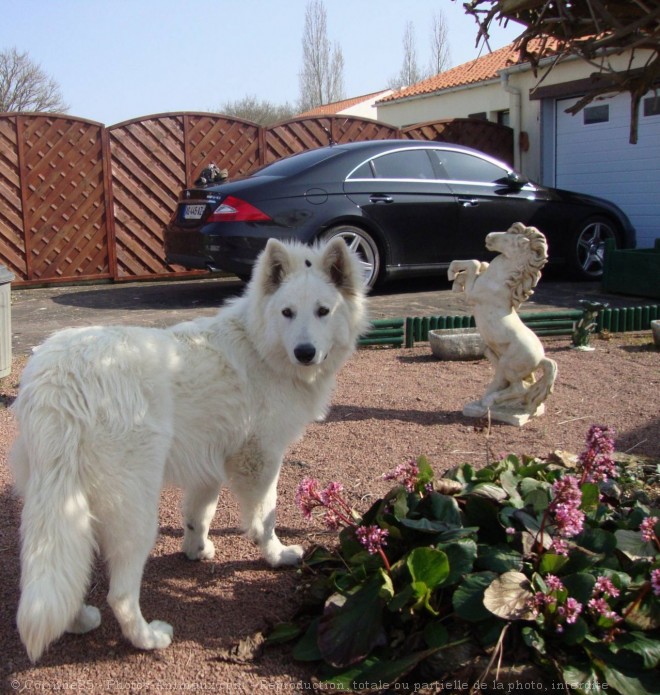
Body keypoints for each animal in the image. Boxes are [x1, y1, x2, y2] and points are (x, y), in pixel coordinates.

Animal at [10, 238, 368, 664]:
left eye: (322, 311)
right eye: (288, 313)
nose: (305, 352)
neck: (260, 345)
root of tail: (62, 378)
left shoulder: (208, 464)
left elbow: (200, 514)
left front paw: (195, 550)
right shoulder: (260, 459)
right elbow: (265, 517)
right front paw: (276, 555)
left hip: (61, 503)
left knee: (63, 572)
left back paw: (79, 620)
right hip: (136, 512)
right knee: (120, 595)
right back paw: (148, 638)